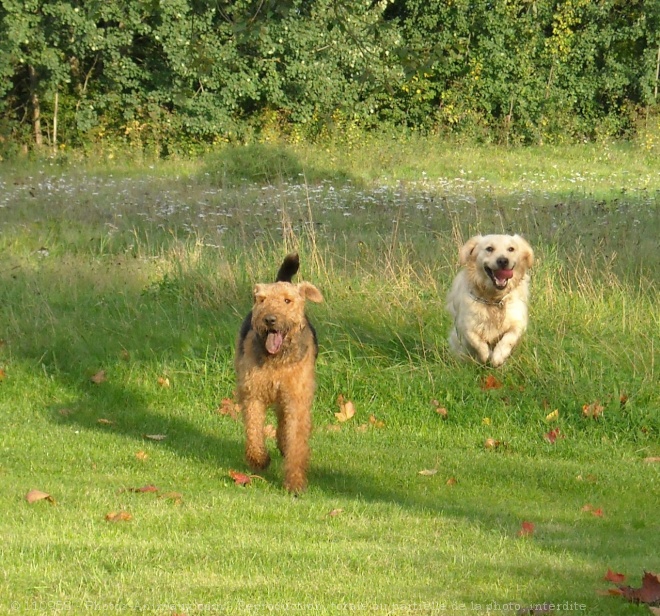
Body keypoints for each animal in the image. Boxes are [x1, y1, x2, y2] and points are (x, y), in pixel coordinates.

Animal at [235, 253, 322, 494]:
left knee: (284, 423)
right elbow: (254, 429)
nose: (270, 320)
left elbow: (296, 443)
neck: (277, 360)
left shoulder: (296, 398)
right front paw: (259, 459)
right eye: (262, 300)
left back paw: (283, 444)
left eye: (287, 301)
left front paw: (295, 483)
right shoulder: (253, 393)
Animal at [446, 232, 532, 366]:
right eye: (489, 249)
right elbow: (477, 342)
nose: (503, 260)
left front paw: (498, 356)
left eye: (511, 249)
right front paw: (486, 355)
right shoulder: (466, 325)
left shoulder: (518, 323)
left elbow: (508, 338)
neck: (494, 299)